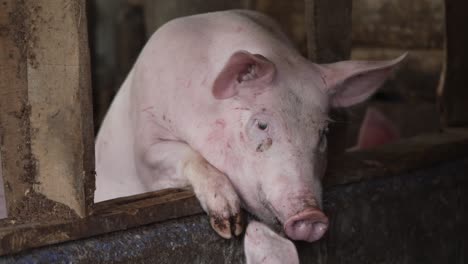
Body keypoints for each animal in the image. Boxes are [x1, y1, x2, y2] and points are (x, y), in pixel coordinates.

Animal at [93, 9, 404, 242]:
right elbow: (176, 156)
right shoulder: (146, 145)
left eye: (323, 132)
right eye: (262, 125)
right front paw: (230, 226)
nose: (310, 216)